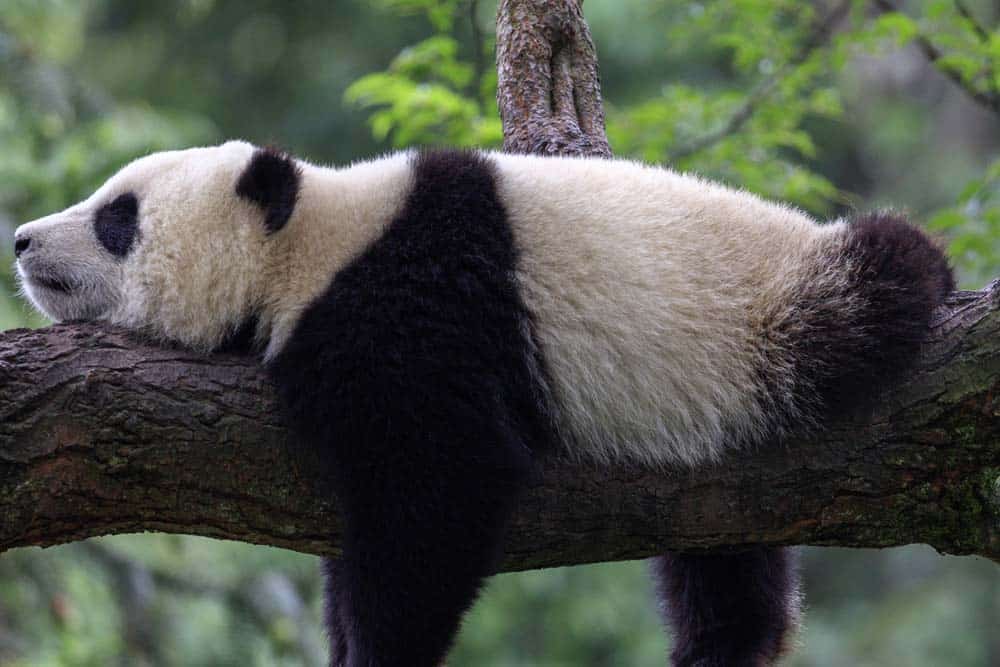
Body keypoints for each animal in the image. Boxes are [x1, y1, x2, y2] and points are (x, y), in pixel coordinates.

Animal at [13, 141, 952, 667]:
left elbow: (442, 484)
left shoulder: (415, 309)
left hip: (775, 314)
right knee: (724, 552)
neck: (311, 241)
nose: (20, 239)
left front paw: (380, 650)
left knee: (881, 278)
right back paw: (724, 645)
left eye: (118, 217)